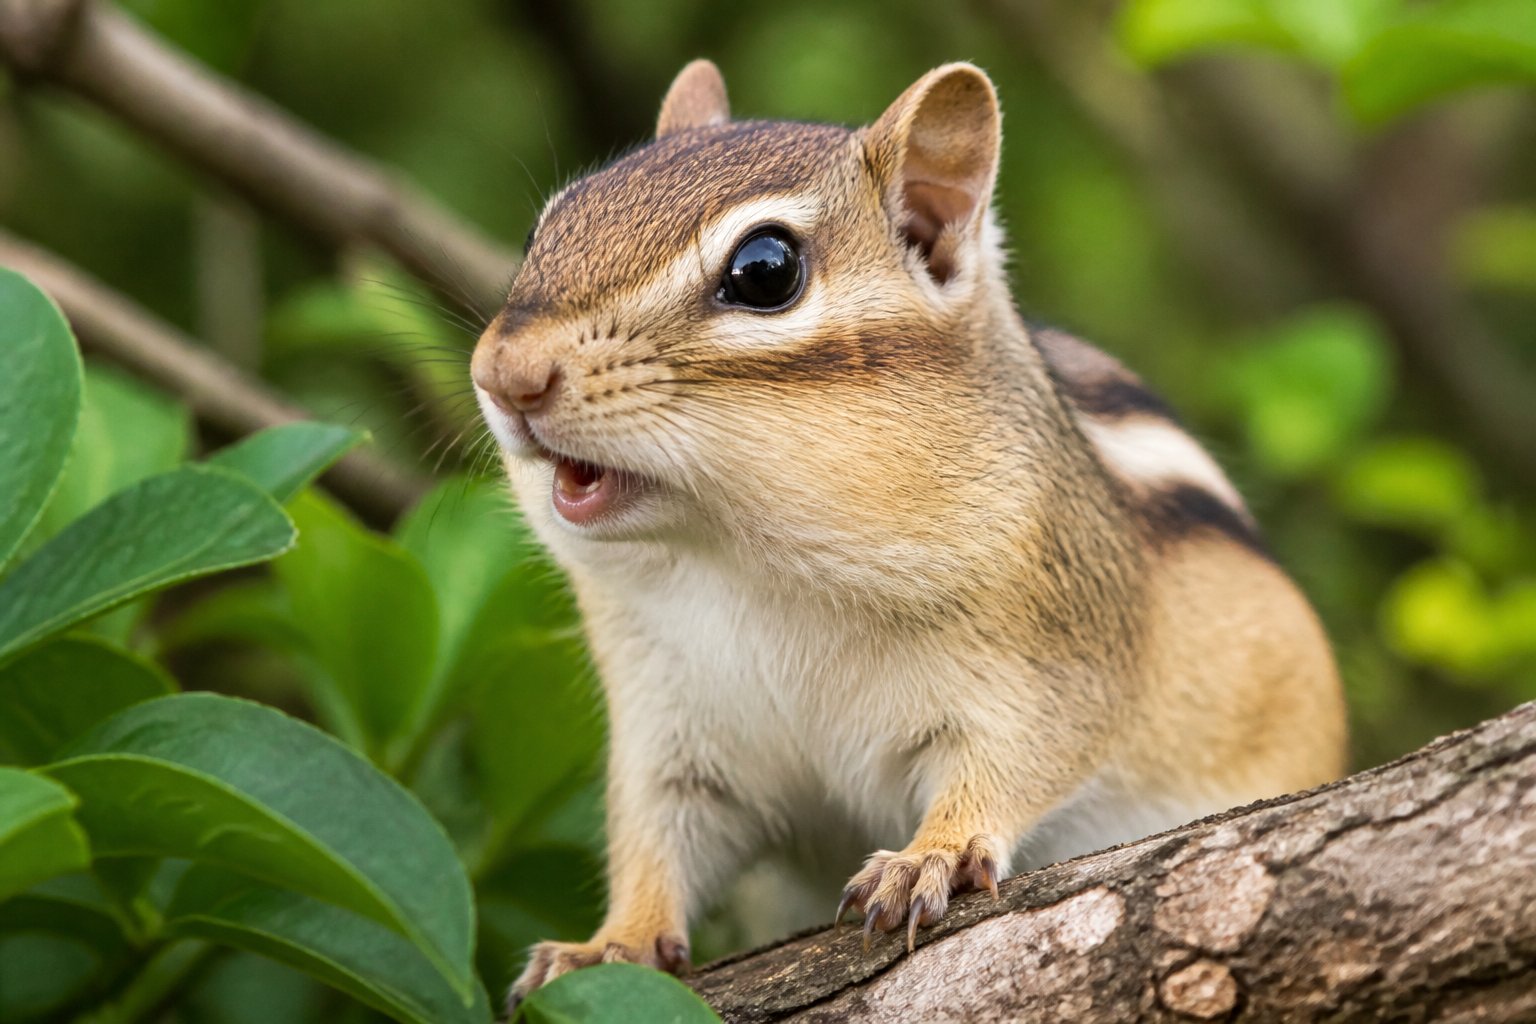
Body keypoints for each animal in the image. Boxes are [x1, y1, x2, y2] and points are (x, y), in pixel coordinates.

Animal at [471, 59, 1347, 1003]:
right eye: (545, 227)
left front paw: (933, 855)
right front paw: (609, 941)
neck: (740, 558)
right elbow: (654, 837)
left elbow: (1015, 759)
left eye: (765, 269)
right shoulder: (665, 728)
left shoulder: (1052, 660)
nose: (503, 373)